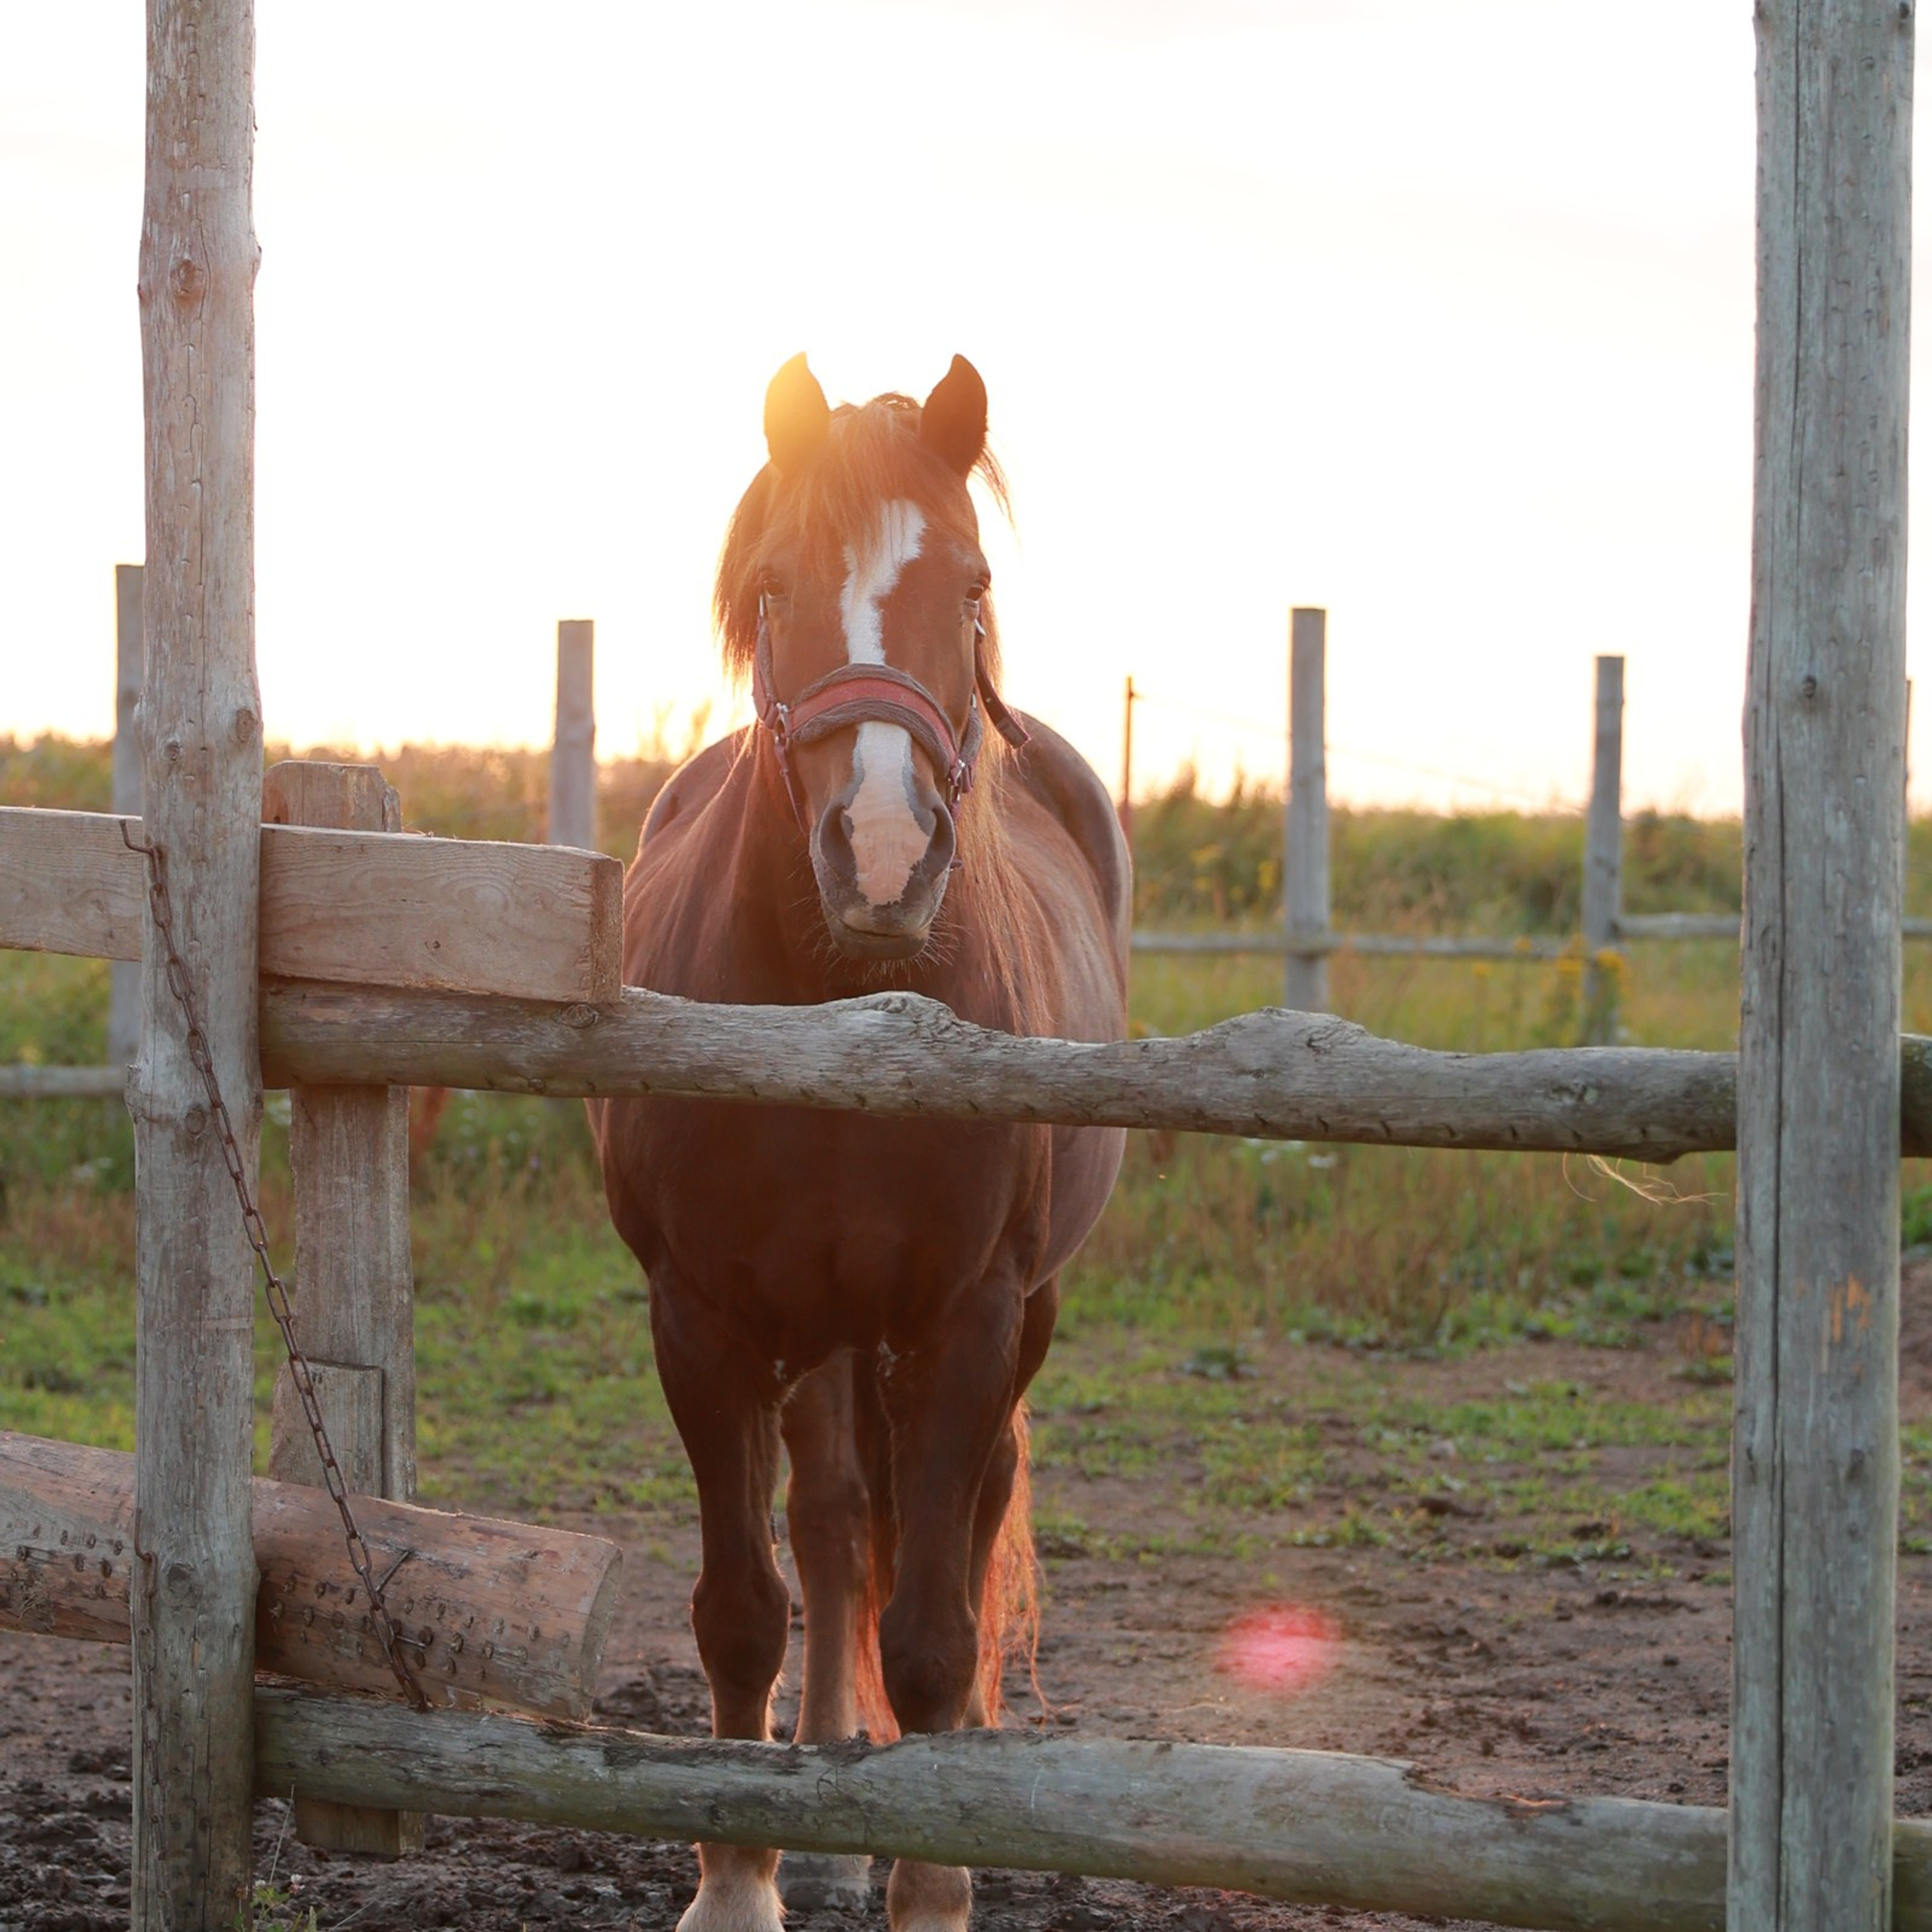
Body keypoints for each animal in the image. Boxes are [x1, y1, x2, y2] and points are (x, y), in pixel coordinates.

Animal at [591, 353, 1129, 1932]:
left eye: (972, 581)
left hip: (1011, 1318)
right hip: (821, 1328)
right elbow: (742, 1610)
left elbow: (938, 1631)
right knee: (832, 1526)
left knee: (962, 1523)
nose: (885, 857)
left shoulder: (968, 1321)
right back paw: (826, 1825)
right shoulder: (701, 1319)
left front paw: (935, 1883)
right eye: (778, 584)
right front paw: (737, 1880)